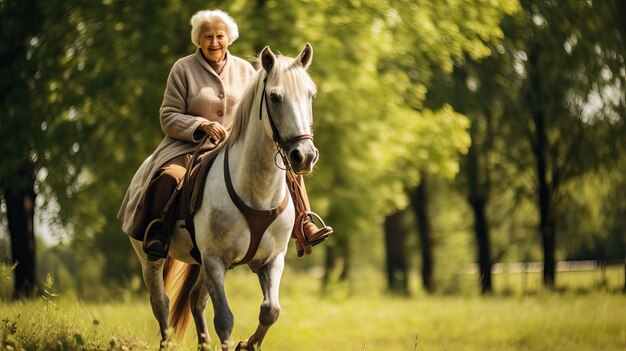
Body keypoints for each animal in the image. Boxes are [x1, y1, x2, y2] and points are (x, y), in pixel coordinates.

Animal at [130, 44, 320, 351]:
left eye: (310, 95)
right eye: (275, 97)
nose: (304, 156)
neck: (257, 190)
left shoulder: (271, 260)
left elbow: (270, 310)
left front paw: (248, 344)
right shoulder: (215, 261)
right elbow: (225, 319)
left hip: (201, 267)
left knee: (195, 301)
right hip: (152, 259)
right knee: (161, 303)